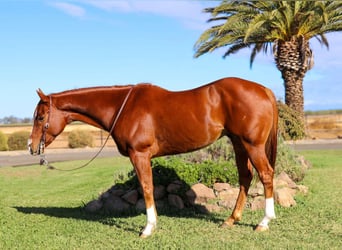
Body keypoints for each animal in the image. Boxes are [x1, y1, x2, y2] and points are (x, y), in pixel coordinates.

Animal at [28, 77, 278, 237]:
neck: (123, 107)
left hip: (252, 145)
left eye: (40, 117)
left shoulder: (139, 154)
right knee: (245, 177)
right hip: (238, 143)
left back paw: (264, 223)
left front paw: (148, 228)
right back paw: (230, 220)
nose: (31, 146)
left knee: (266, 175)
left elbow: (146, 187)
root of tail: (265, 90)